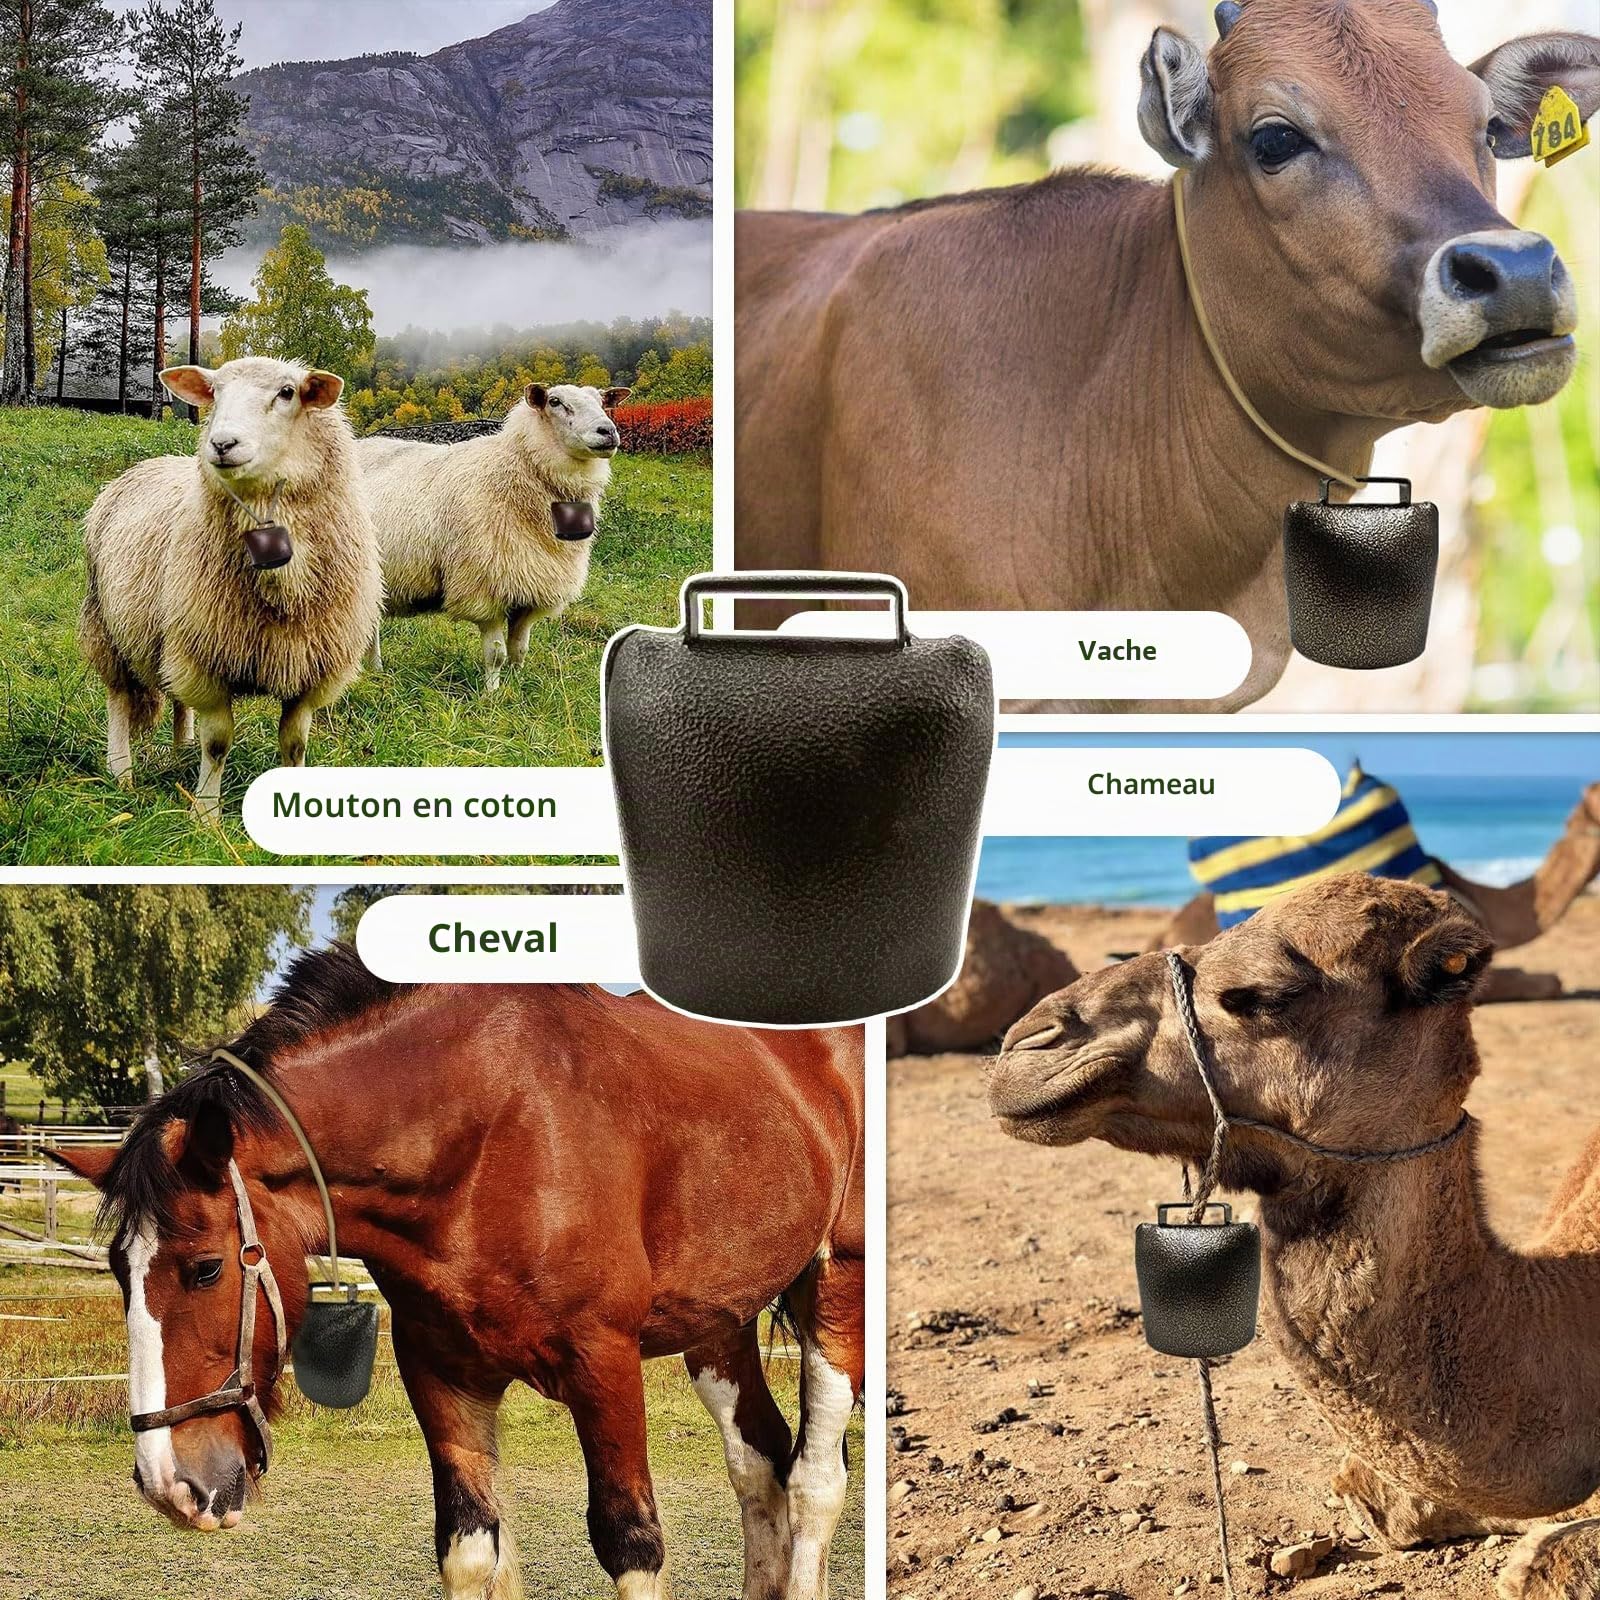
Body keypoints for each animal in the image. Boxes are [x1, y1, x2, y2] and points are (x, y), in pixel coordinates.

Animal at [53, 945, 865, 1600]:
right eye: (120, 1273)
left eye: (206, 1268)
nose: (167, 1483)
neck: (488, 1136)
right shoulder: (443, 1374)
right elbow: (471, 1549)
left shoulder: (605, 1364)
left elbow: (631, 1544)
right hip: (718, 1325)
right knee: (760, 1465)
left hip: (838, 1294)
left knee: (814, 1482)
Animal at [78, 357, 382, 820]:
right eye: (215, 393)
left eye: (287, 392)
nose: (221, 443)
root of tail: (144, 465)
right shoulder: (207, 663)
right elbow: (218, 743)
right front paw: (206, 815)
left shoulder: (308, 669)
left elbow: (295, 744)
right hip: (108, 627)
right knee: (118, 698)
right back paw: (122, 773)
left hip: (173, 635)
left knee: (176, 699)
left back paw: (180, 750)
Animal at [358, 382, 630, 690]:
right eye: (555, 402)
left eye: (602, 401)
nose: (607, 431)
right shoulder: (485, 588)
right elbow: (496, 653)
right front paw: (492, 692)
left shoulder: (530, 589)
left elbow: (520, 647)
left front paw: (517, 683)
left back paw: (376, 670)